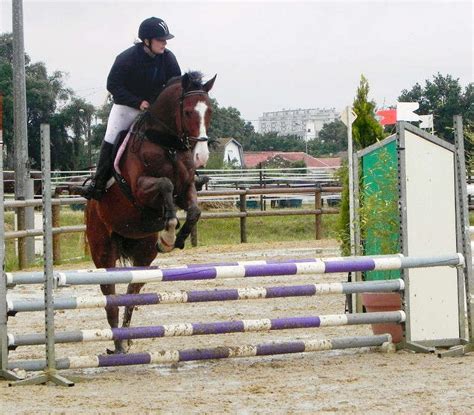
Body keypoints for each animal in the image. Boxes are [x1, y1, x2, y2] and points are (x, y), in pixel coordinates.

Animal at [85, 70, 217, 354]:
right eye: (188, 112)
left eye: (209, 111)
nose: (201, 156)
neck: (167, 144)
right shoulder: (140, 189)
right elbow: (165, 185)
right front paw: (168, 230)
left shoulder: (186, 188)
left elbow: (194, 210)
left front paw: (174, 238)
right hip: (103, 250)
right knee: (110, 296)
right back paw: (117, 344)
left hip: (143, 253)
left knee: (132, 291)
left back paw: (126, 338)